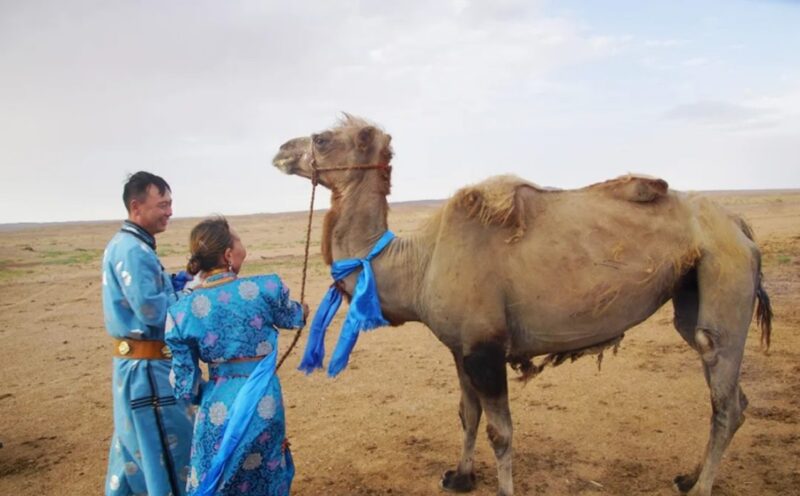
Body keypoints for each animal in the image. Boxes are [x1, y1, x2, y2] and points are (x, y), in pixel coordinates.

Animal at [272, 115, 772, 496]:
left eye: (321, 138)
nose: (280, 150)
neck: (418, 262)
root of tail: (740, 224)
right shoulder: (460, 348)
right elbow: (467, 413)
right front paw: (460, 477)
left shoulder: (486, 348)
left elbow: (501, 432)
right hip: (693, 291)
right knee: (733, 392)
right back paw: (688, 477)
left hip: (724, 272)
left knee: (723, 392)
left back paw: (701, 487)